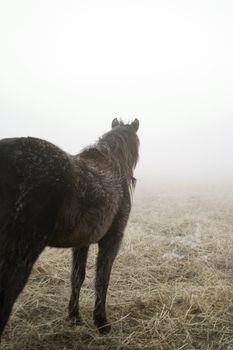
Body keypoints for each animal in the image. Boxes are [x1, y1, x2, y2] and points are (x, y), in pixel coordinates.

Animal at [0, 119, 139, 338]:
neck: (112, 165)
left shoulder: (82, 242)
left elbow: (77, 276)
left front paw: (74, 316)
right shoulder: (112, 240)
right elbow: (102, 279)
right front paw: (101, 322)